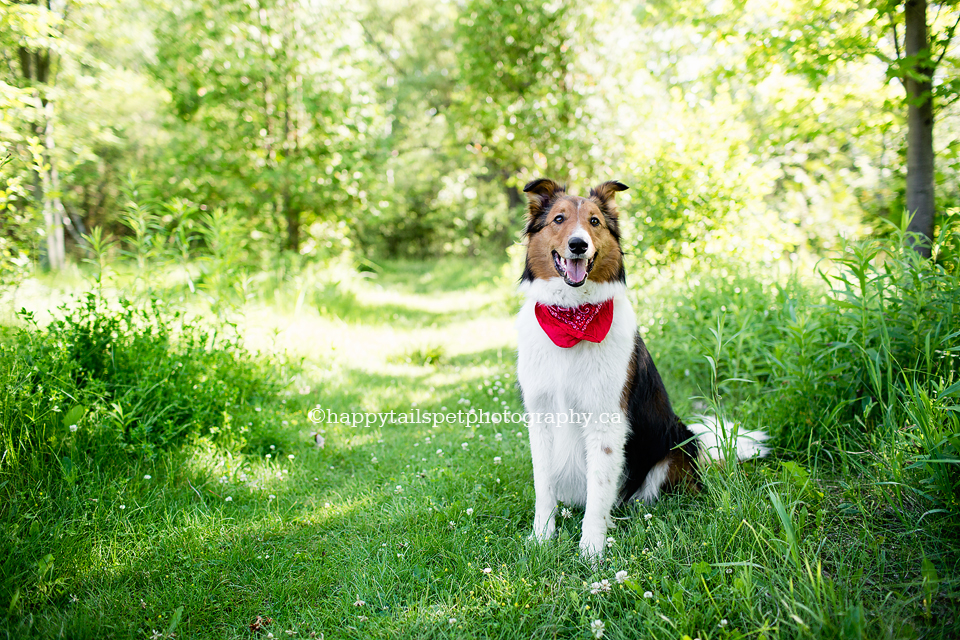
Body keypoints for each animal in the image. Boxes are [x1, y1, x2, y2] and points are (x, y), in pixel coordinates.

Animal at [512, 178, 768, 556]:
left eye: (594, 222)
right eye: (559, 219)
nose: (578, 245)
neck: (572, 320)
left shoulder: (606, 420)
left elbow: (599, 492)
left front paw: (592, 550)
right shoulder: (541, 416)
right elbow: (544, 486)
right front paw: (542, 538)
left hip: (676, 444)